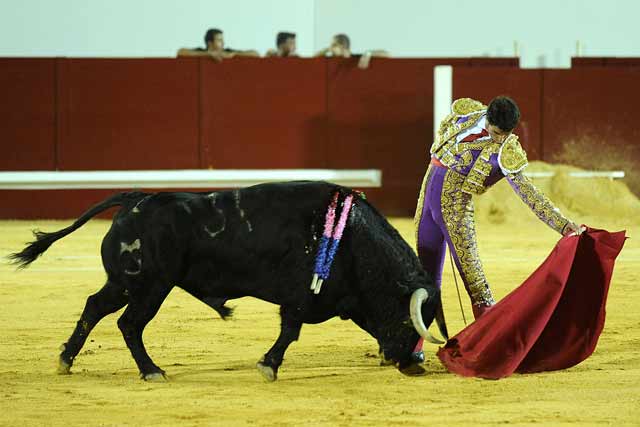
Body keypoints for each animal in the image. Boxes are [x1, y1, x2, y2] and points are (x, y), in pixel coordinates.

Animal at [11, 182, 450, 382]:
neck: (349, 238)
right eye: (408, 317)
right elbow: (289, 332)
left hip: (124, 282)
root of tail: (138, 198)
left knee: (94, 307)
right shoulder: (299, 298)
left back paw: (66, 360)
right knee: (129, 323)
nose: (412, 365)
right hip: (151, 287)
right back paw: (151, 371)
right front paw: (268, 366)